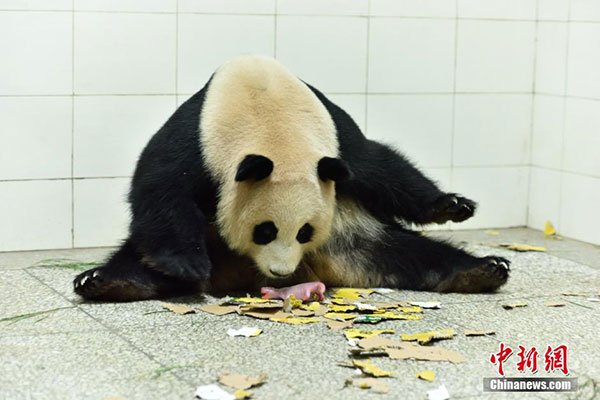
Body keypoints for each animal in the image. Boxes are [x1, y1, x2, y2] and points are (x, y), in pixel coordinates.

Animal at [72, 55, 508, 300]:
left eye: (304, 231)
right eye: (264, 230)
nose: (280, 274)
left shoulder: (337, 136)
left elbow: (382, 168)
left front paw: (453, 205)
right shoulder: (195, 137)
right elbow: (162, 188)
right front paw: (185, 264)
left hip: (350, 237)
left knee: (408, 253)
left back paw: (483, 270)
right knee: (136, 259)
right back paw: (107, 282)